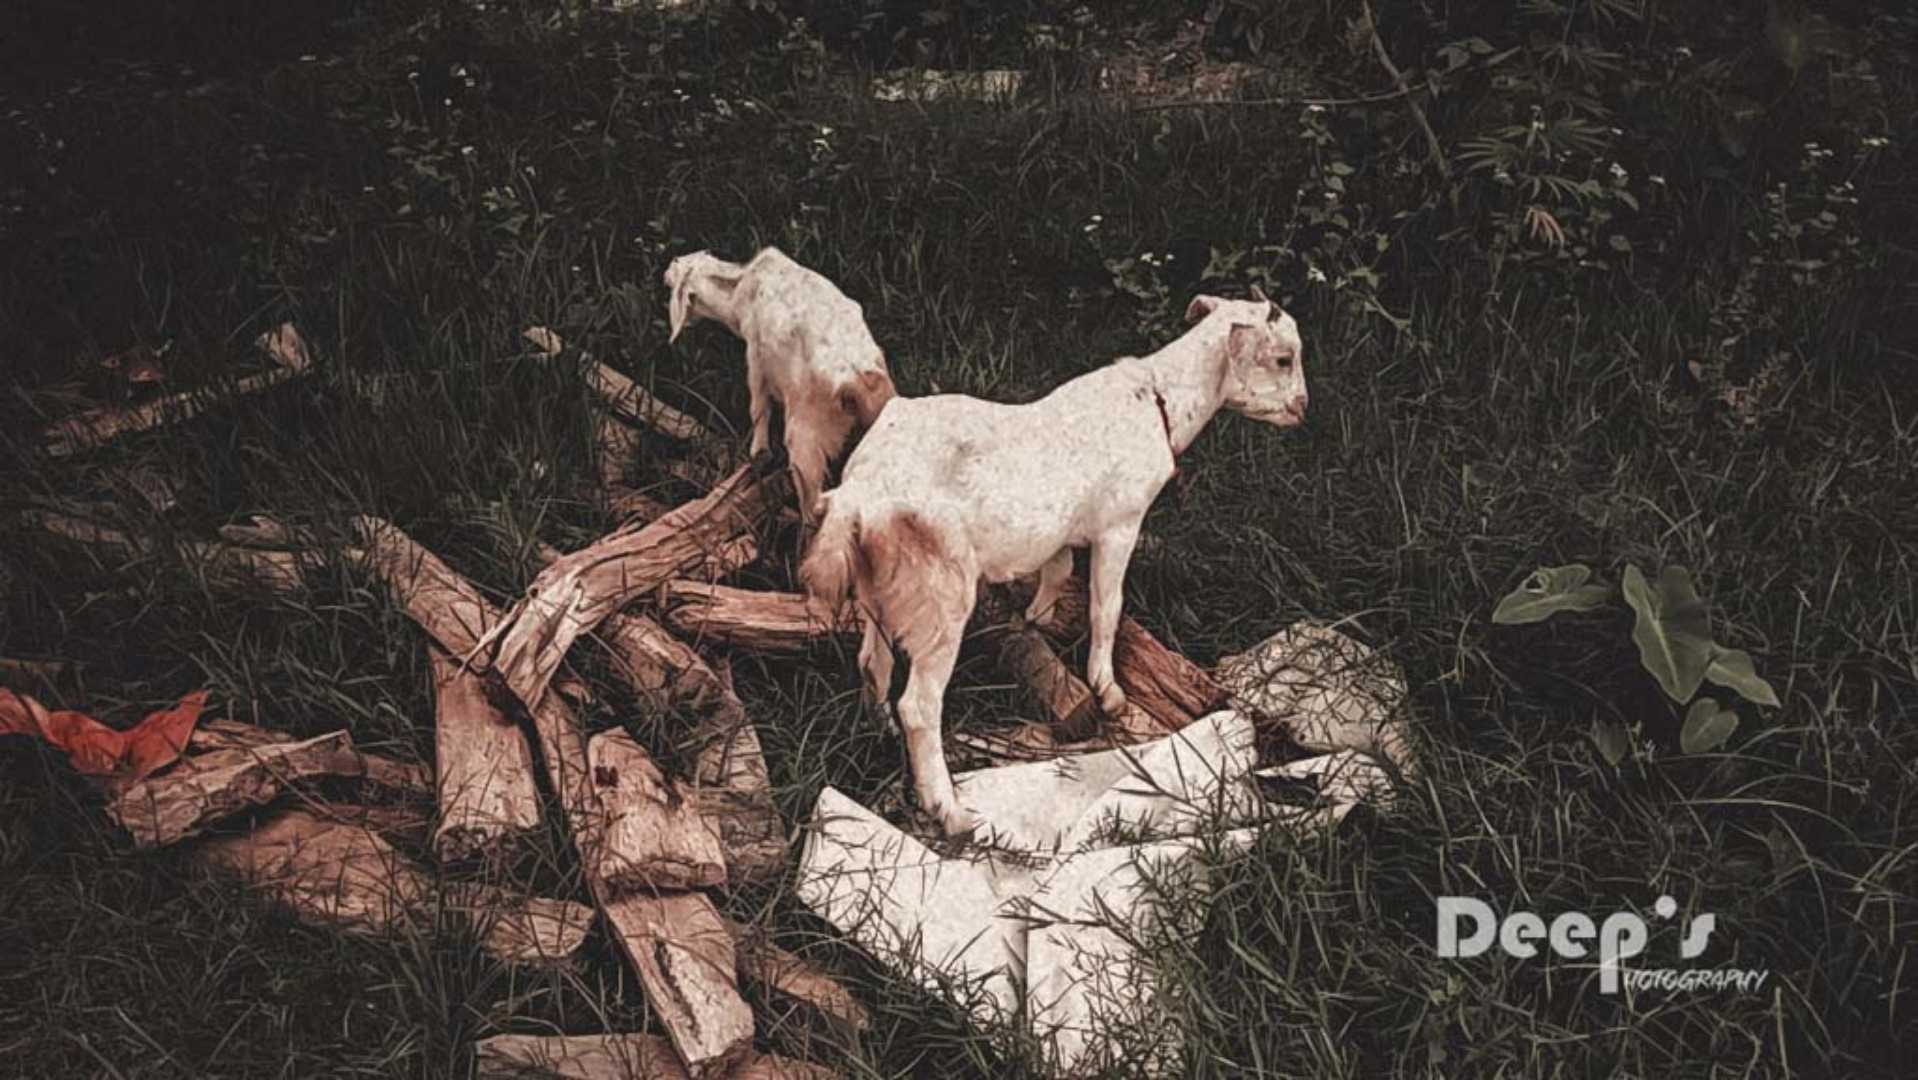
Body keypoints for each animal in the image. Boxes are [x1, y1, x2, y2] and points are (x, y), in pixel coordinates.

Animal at [664, 247, 896, 531]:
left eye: (679, 264)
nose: (669, 264)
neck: (740, 290)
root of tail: (859, 379)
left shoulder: (755, 356)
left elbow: (758, 409)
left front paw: (757, 454)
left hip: (804, 443)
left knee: (812, 507)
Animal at [800, 288, 1308, 836]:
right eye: (1283, 358)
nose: (1303, 408)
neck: (1158, 403)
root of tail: (859, 492)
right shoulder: (1120, 523)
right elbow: (1106, 607)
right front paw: (1108, 690)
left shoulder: (1062, 529)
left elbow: (1058, 570)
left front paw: (1037, 619)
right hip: (941, 594)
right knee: (919, 704)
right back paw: (949, 809)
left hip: (882, 586)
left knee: (873, 663)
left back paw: (883, 730)